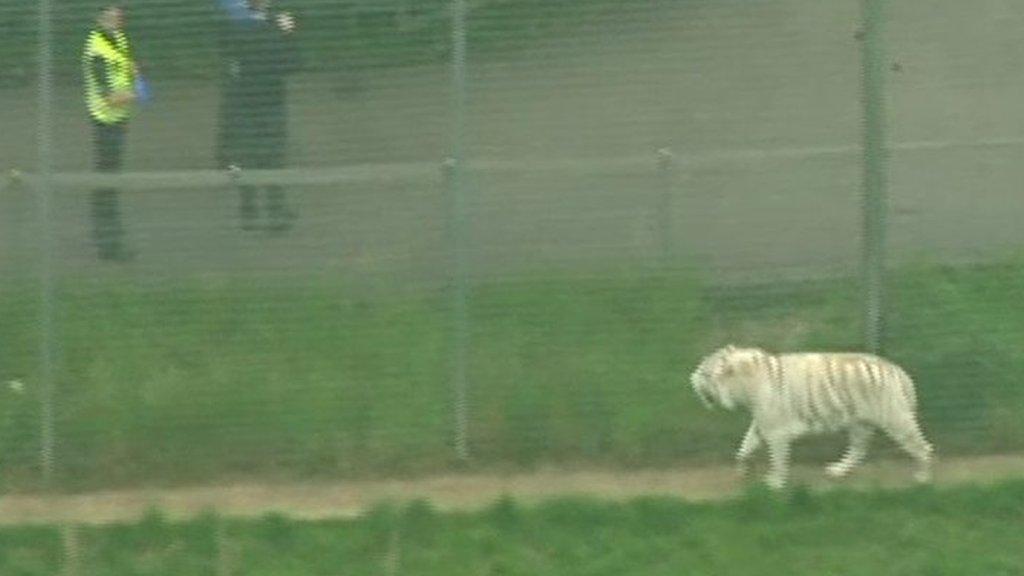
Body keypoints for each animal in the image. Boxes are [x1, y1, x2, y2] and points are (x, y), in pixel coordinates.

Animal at [692, 342, 933, 485]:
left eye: (704, 372)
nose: (691, 378)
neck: (744, 387)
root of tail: (897, 371)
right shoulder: (761, 424)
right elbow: (744, 447)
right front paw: (741, 470)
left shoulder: (776, 431)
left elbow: (777, 458)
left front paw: (775, 482)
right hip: (859, 423)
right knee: (858, 449)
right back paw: (838, 470)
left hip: (896, 419)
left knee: (923, 447)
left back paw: (923, 477)